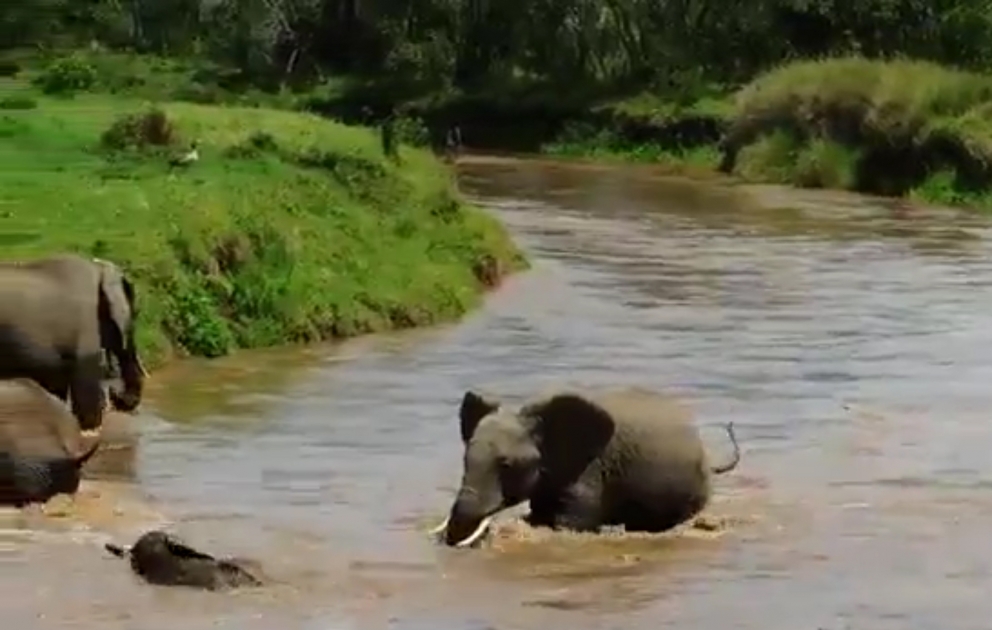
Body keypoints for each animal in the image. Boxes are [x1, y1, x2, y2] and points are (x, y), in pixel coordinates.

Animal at [0, 253, 147, 435]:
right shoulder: (85, 325)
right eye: (135, 315)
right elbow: (84, 385)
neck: (98, 268)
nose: (114, 394)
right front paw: (91, 431)